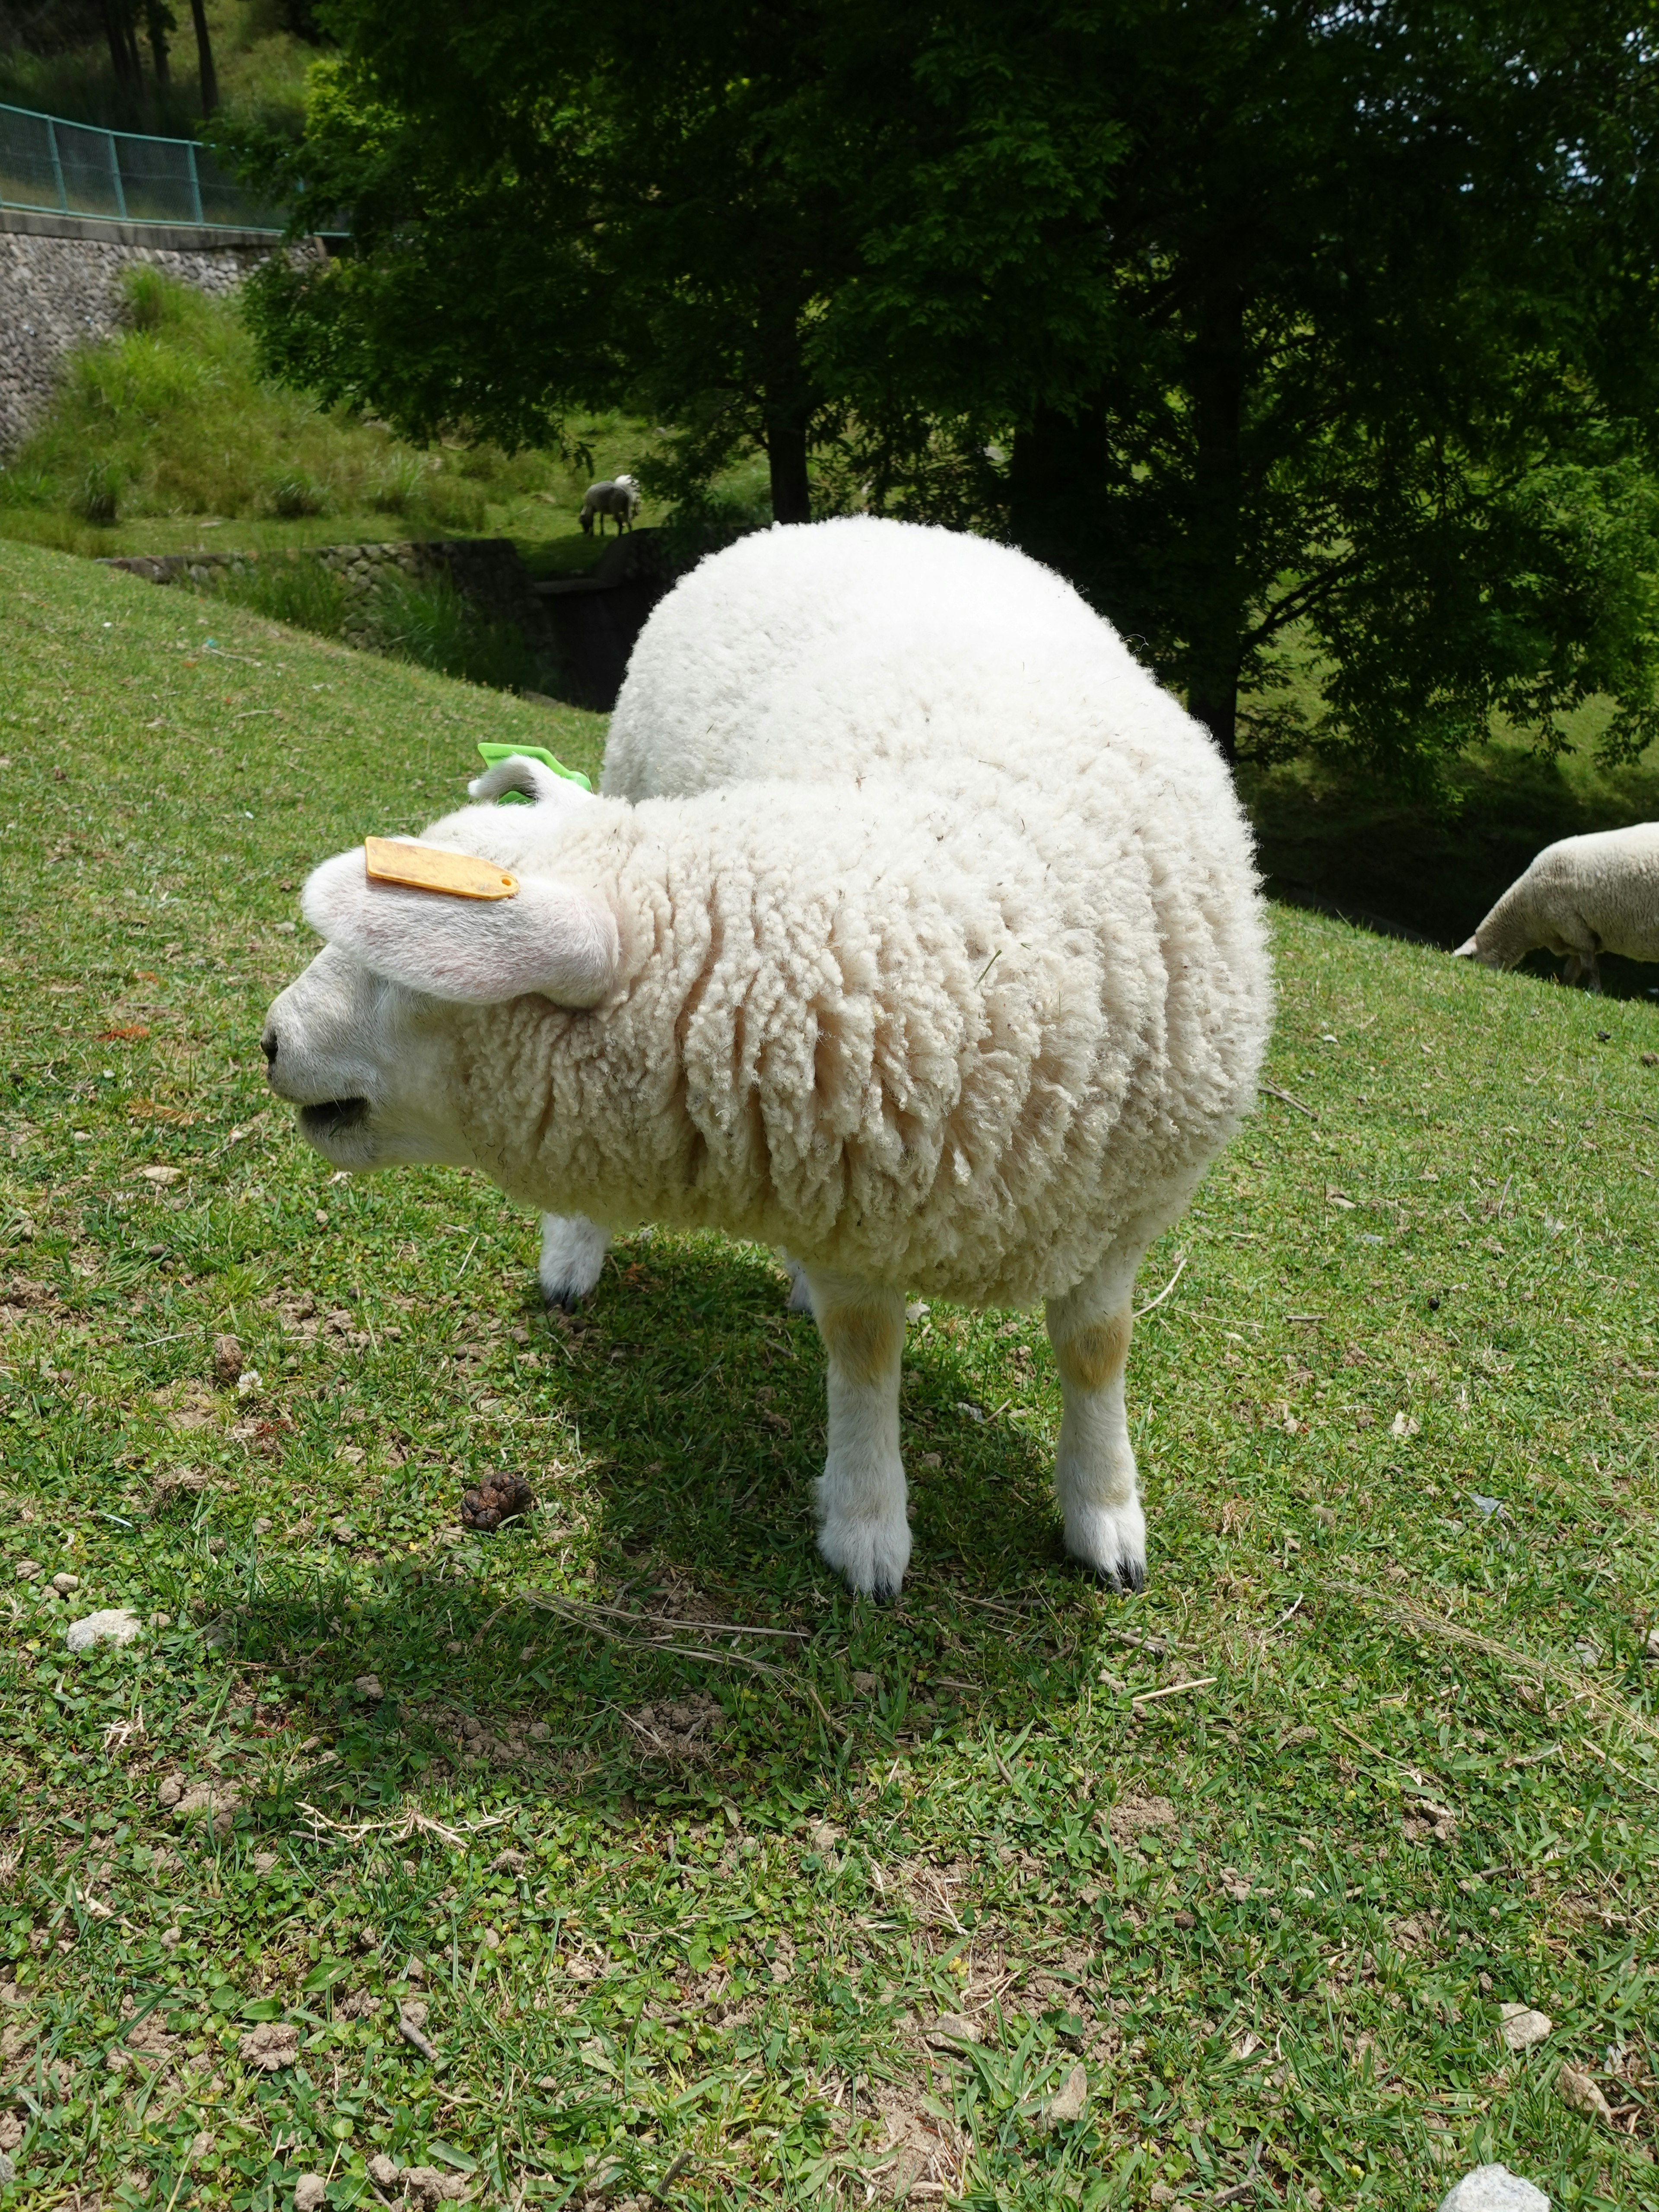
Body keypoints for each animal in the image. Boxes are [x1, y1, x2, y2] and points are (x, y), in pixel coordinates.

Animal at [263, 518, 1274, 1592]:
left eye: (407, 973)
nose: (271, 1040)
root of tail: (822, 524)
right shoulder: (848, 1204)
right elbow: (866, 1349)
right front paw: (870, 1524)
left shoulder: (1119, 1213)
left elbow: (1096, 1350)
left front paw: (1106, 1514)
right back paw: (577, 1255)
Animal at [579, 475, 641, 535]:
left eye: (582, 522)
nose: (585, 532)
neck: (586, 507)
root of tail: (626, 495)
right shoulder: (602, 509)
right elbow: (601, 520)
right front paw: (602, 533)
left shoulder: (591, 508)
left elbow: (592, 521)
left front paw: (592, 534)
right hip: (627, 508)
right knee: (629, 521)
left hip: (616, 510)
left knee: (620, 523)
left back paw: (619, 535)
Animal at [1451, 827, 1659, 991]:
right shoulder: (1576, 935)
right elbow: (1572, 970)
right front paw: (1567, 988)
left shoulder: (1573, 926)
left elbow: (1590, 968)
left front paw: (1595, 992)